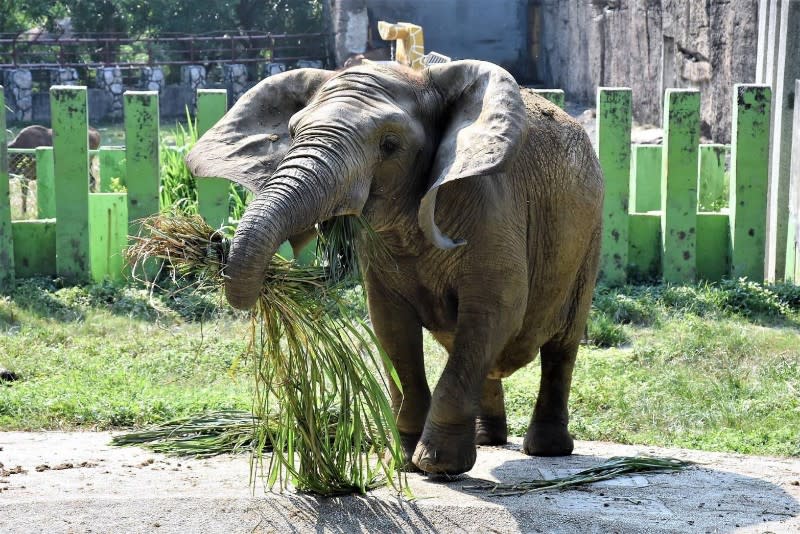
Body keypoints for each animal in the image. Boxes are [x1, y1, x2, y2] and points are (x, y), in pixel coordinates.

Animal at [186, 59, 600, 478]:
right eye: (291, 133)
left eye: (390, 145)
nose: (215, 242)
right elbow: (391, 328)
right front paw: (401, 462)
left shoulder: (494, 209)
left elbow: (496, 311)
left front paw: (438, 465)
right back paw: (488, 439)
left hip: (589, 238)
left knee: (561, 346)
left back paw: (547, 449)